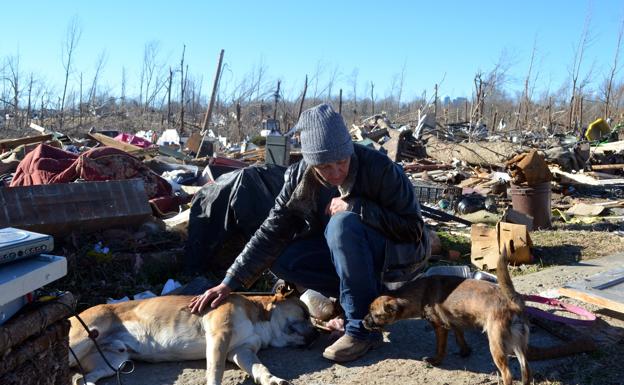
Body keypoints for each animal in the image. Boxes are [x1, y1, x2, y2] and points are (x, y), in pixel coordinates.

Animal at [69, 292, 316, 382]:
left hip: (114, 363)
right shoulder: (219, 336)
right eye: (305, 314)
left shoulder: (241, 351)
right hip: (82, 339)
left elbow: (259, 367)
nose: (315, 336)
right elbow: (215, 371)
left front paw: (270, 379)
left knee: (81, 379)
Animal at [364, 246, 528, 384]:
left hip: (496, 344)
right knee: (526, 371)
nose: (363, 322)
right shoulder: (454, 322)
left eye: (375, 315)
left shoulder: (440, 327)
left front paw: (435, 360)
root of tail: (512, 302)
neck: (421, 293)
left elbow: (440, 347)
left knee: (508, 374)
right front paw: (465, 352)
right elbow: (460, 337)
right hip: (519, 345)